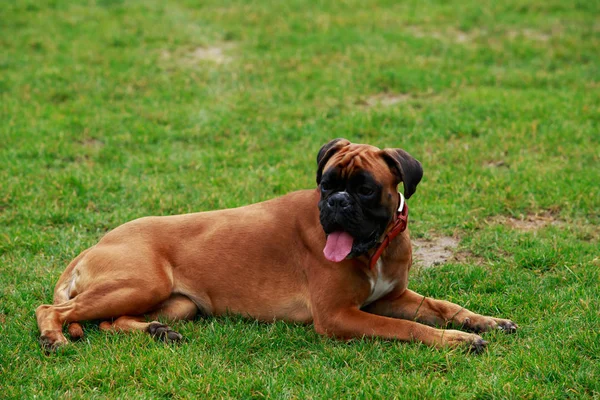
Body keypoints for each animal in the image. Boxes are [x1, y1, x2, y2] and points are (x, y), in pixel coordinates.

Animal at [36, 139, 516, 352]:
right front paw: (458, 340)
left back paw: (156, 331)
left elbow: (443, 305)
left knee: (110, 321)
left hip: (177, 303)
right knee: (51, 309)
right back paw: (53, 337)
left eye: (364, 189)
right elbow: (409, 329)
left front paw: (485, 321)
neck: (375, 247)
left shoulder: (393, 297)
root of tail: (93, 244)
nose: (336, 203)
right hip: (139, 283)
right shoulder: (340, 317)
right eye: (327, 184)